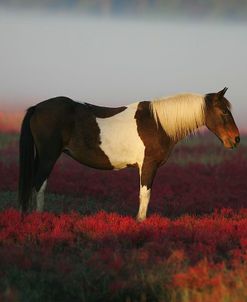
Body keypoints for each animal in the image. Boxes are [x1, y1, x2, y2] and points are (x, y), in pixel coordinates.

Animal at [18, 86, 239, 219]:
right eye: (224, 112)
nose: (236, 139)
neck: (159, 123)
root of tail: (37, 107)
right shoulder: (148, 166)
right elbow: (145, 195)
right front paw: (140, 222)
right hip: (48, 157)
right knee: (38, 185)